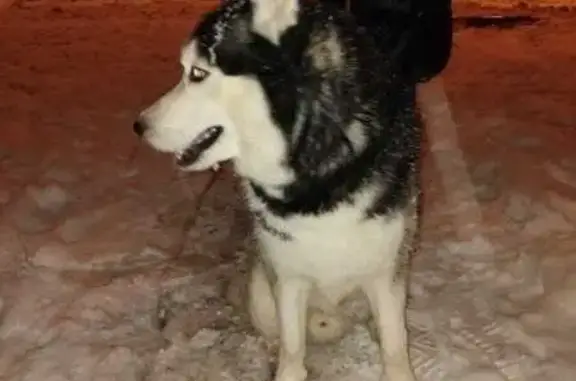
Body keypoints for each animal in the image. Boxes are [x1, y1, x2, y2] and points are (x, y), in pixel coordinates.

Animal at [135, 0, 424, 380]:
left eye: (196, 74)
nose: (139, 126)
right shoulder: (287, 277)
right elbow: (292, 346)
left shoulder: (385, 271)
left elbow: (393, 346)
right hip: (261, 292)